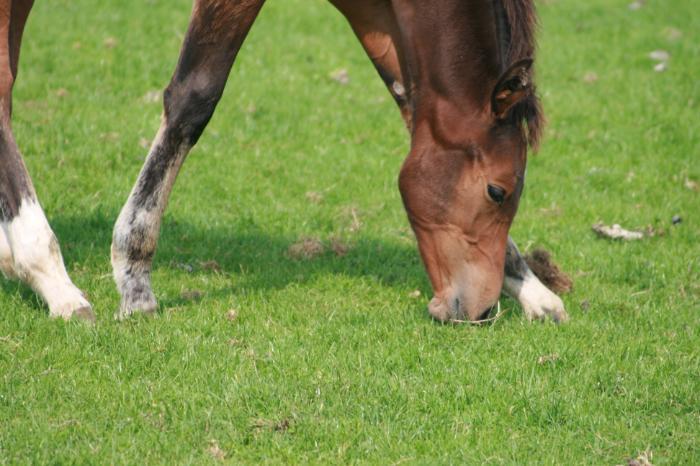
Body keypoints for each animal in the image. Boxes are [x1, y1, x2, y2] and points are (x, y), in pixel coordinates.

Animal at [0, 0, 567, 323]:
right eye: (496, 190)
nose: (479, 310)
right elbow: (194, 96)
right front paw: (134, 277)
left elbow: (409, 105)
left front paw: (534, 290)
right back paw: (52, 279)